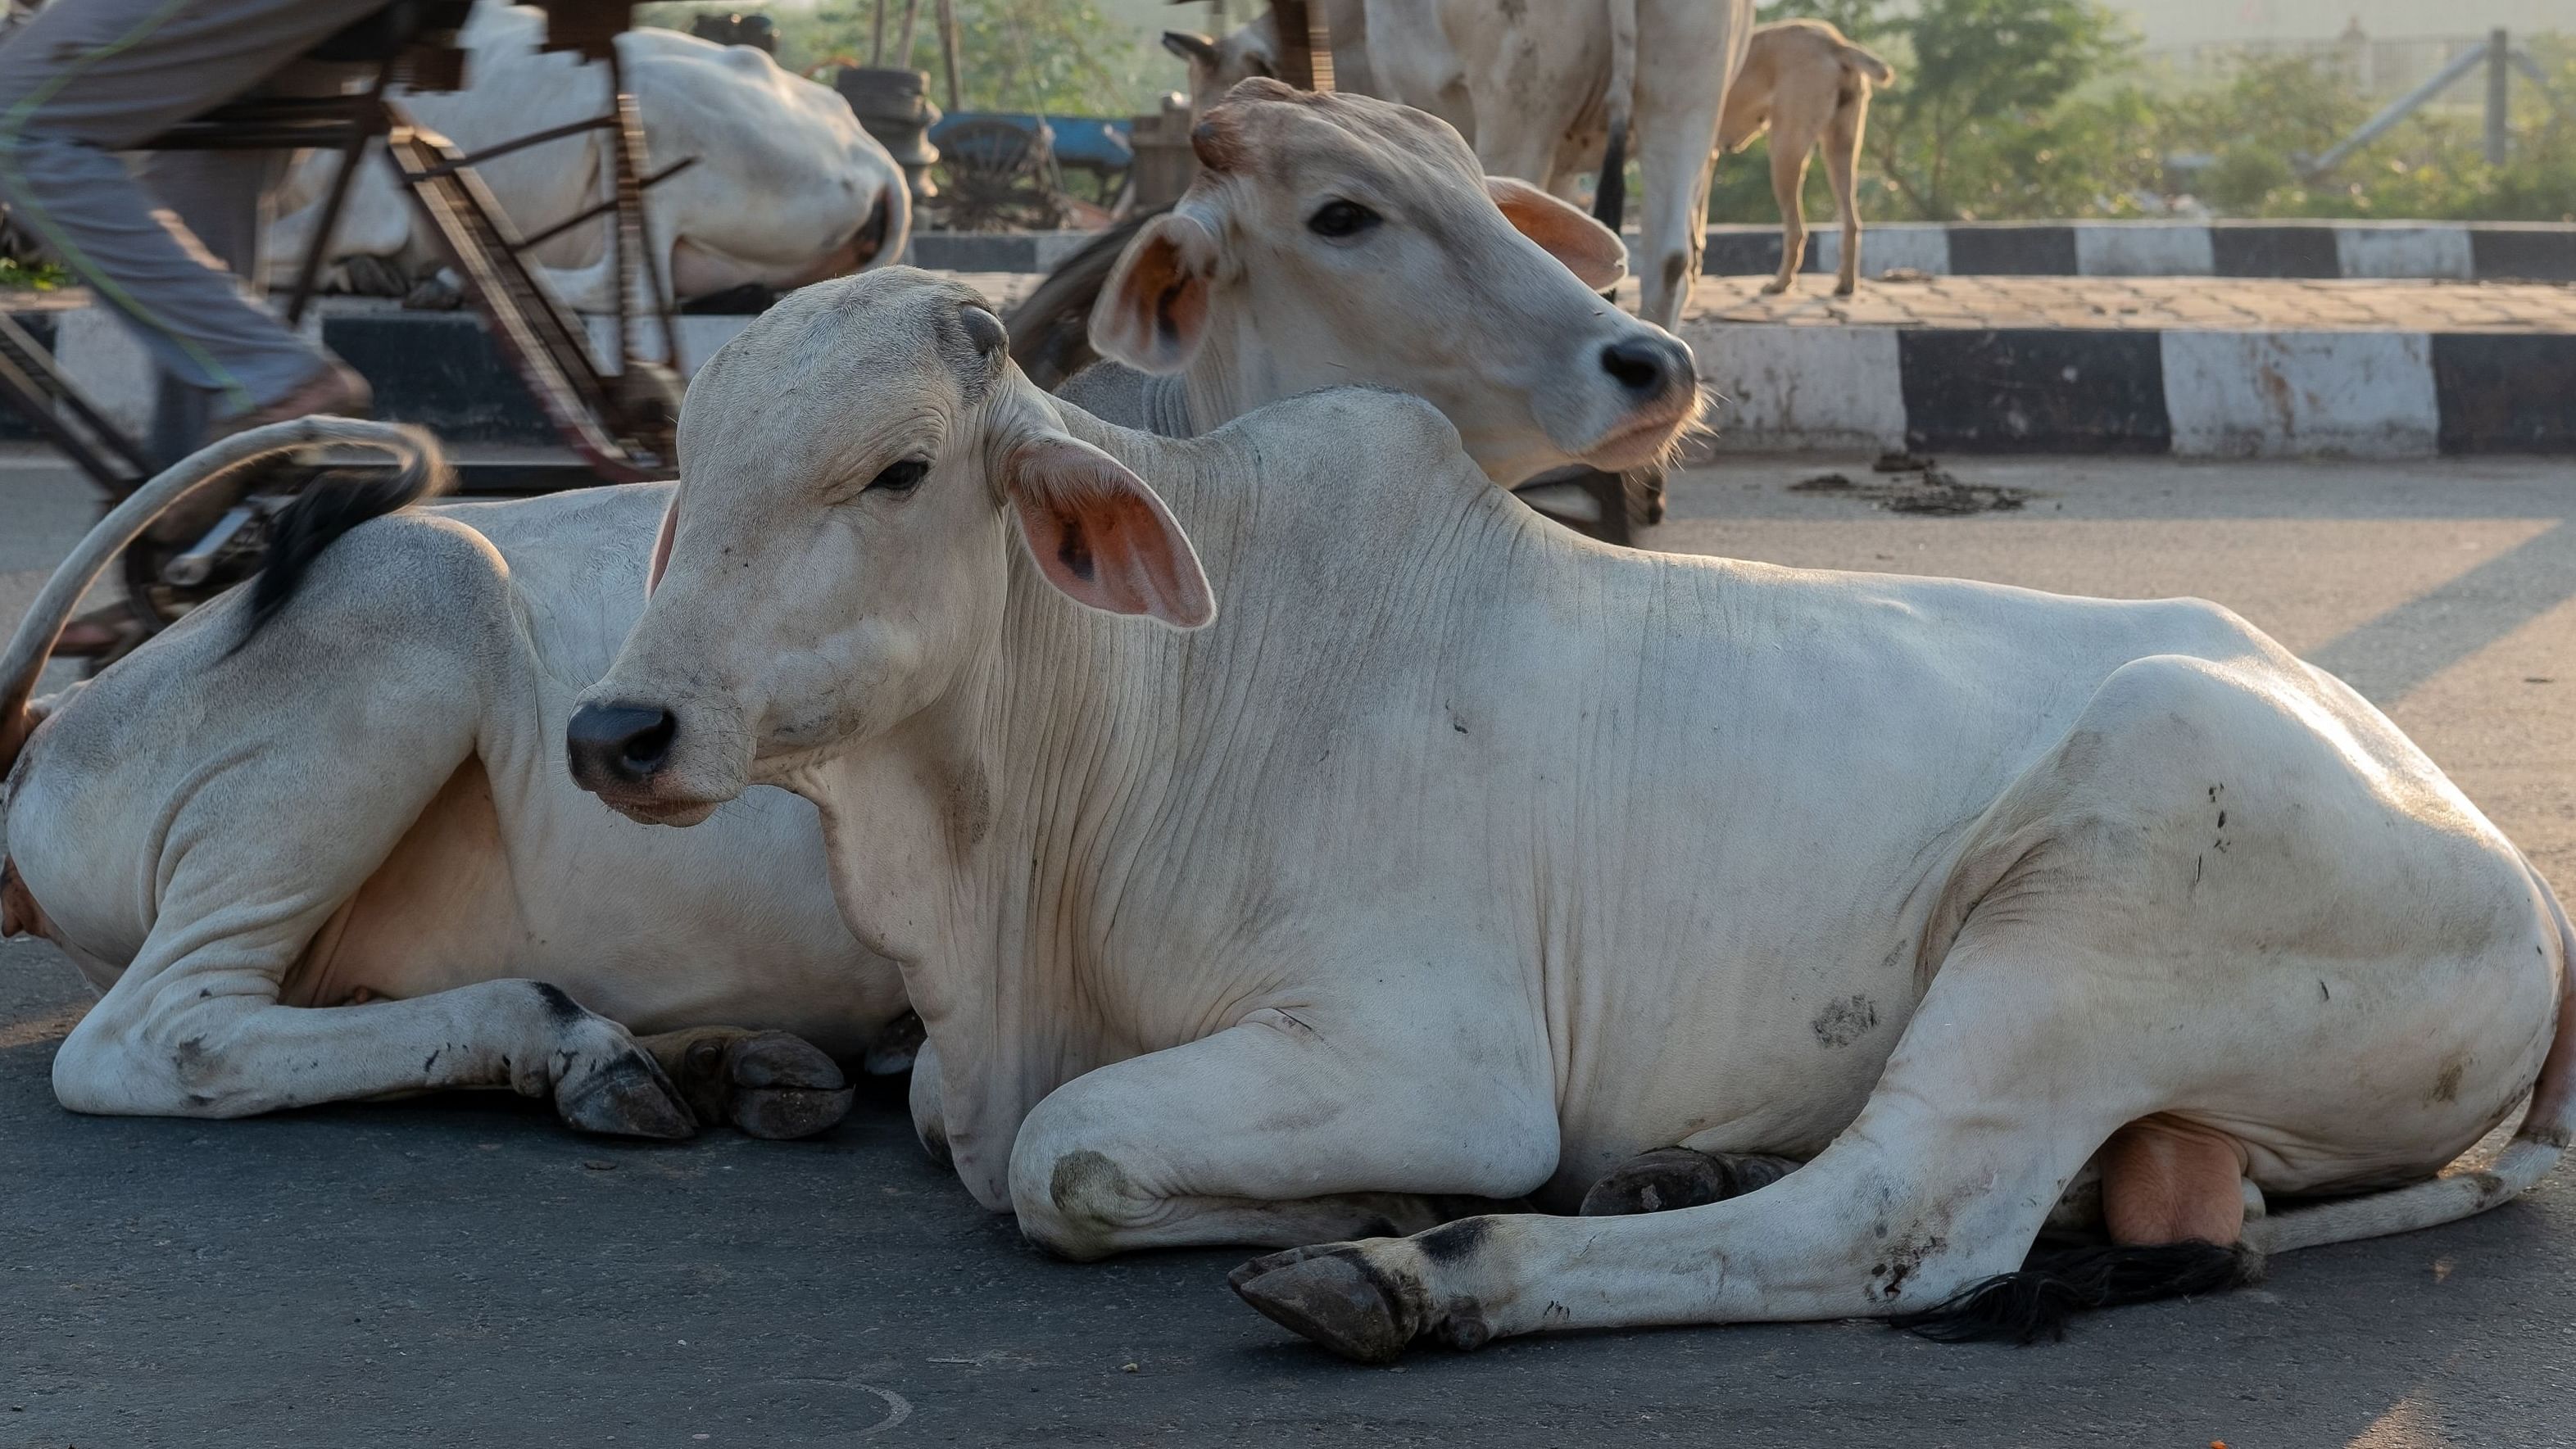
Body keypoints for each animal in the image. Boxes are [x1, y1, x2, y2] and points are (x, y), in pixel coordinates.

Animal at [0, 93, 1700, 1148]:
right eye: (1341, 214)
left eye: (1481, 188)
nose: (1648, 360)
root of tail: (45, 738)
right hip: (413, 606)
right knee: (161, 1033)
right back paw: (565, 1040)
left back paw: (715, 1058)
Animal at [271, 2, 911, 309]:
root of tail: (872, 154)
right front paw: (362, 273)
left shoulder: (367, 207)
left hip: (648, 121)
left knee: (631, 288)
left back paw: (455, 281)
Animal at [579, 266, 2576, 1369]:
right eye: (690, 470)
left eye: (898, 468)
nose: (619, 727)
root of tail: (2507, 869)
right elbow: (944, 1114)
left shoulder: (1434, 1049)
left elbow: (1057, 1159)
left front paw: (1390, 1196)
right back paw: (1666, 1165)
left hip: (2101, 885)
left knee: (1897, 1217)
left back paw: (1426, 1267)